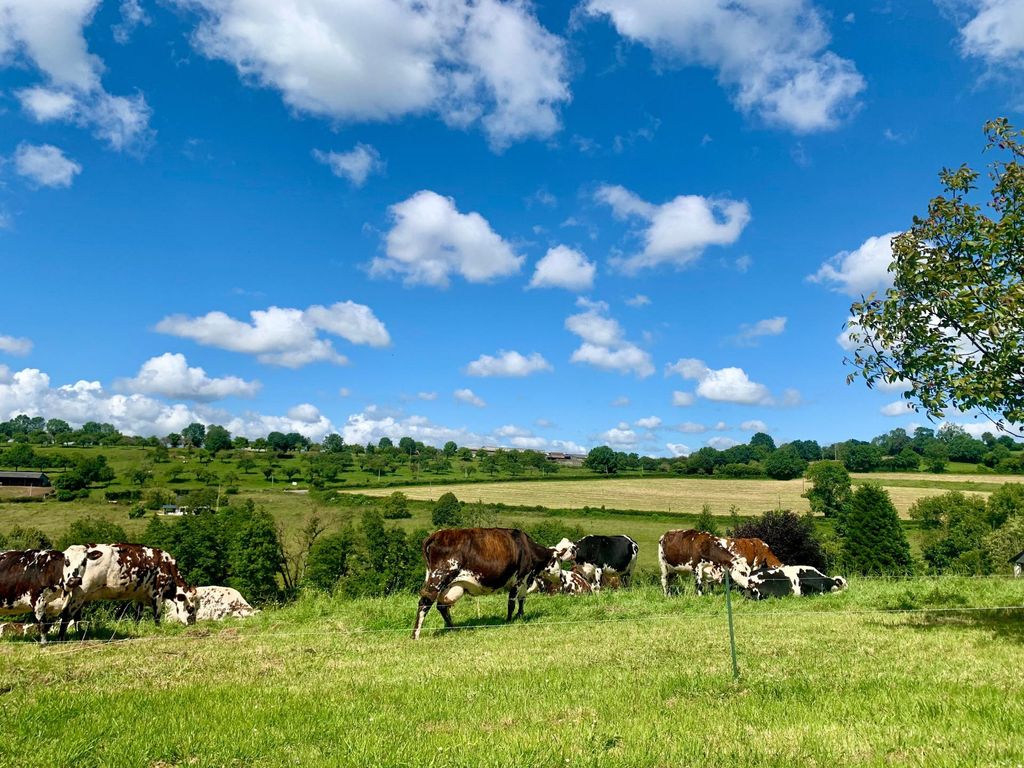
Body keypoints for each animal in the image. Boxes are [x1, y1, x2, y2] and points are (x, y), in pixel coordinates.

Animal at [61, 540, 197, 630]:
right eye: (191, 608)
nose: (193, 623)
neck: (167, 565)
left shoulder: (140, 594)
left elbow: (138, 615)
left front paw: (136, 629)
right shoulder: (157, 592)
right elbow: (157, 614)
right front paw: (158, 629)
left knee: (76, 616)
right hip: (79, 593)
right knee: (67, 614)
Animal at [411, 528, 565, 638]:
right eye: (559, 561)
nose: (562, 577)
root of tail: (436, 535)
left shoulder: (525, 580)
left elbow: (522, 599)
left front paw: (520, 616)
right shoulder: (519, 578)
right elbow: (511, 602)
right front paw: (509, 620)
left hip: (448, 584)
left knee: (442, 606)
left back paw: (453, 628)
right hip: (438, 578)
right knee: (425, 602)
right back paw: (415, 635)